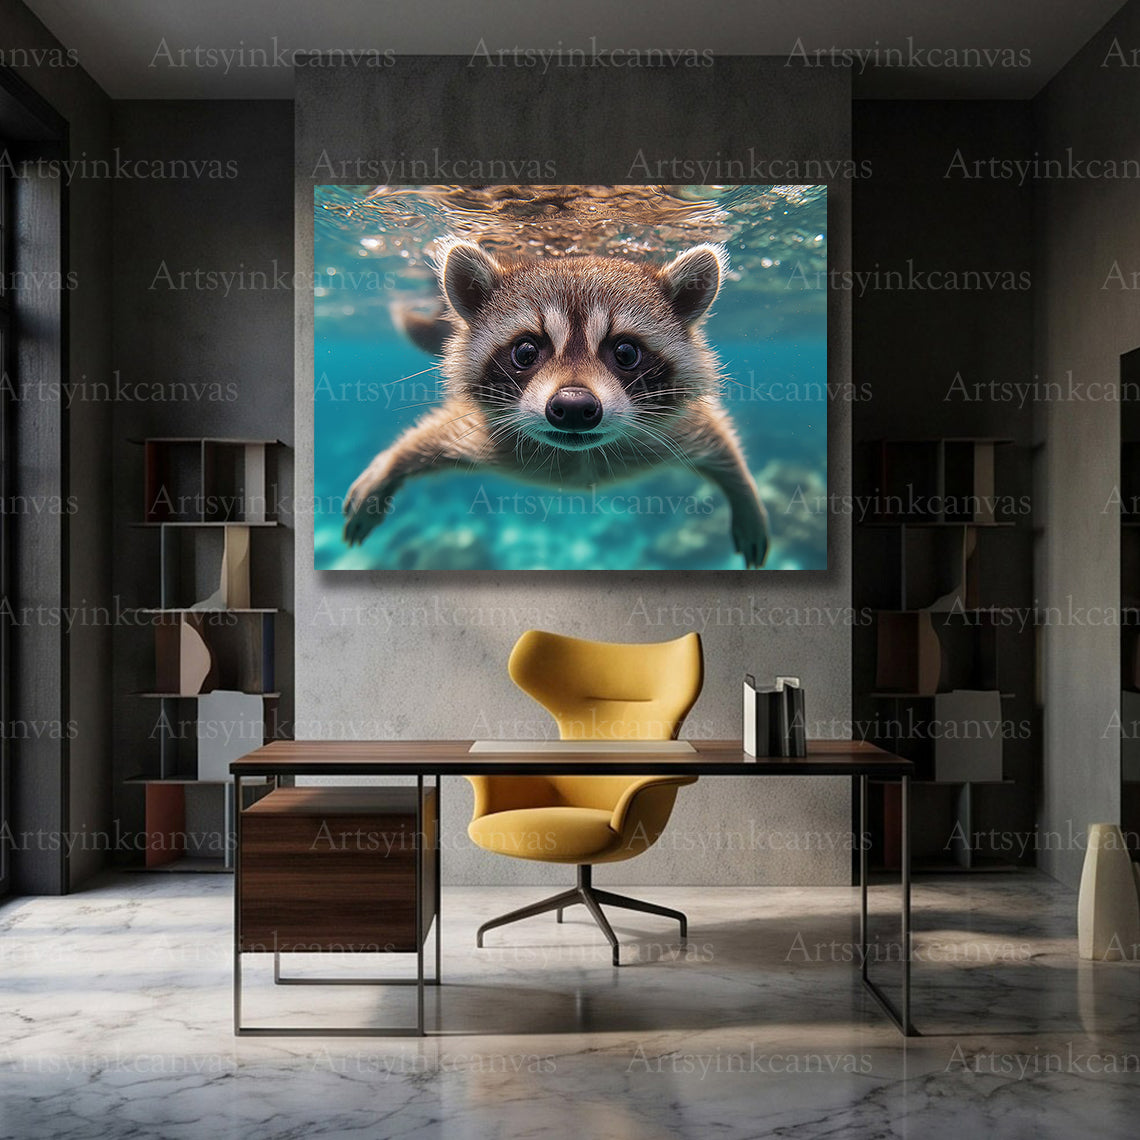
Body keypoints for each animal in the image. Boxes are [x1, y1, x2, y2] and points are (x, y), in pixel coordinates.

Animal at [343, 240, 769, 567]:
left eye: (626, 352)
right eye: (526, 351)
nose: (575, 406)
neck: (580, 456)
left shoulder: (664, 430)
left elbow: (717, 439)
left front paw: (745, 493)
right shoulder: (492, 436)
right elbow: (432, 435)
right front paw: (390, 464)